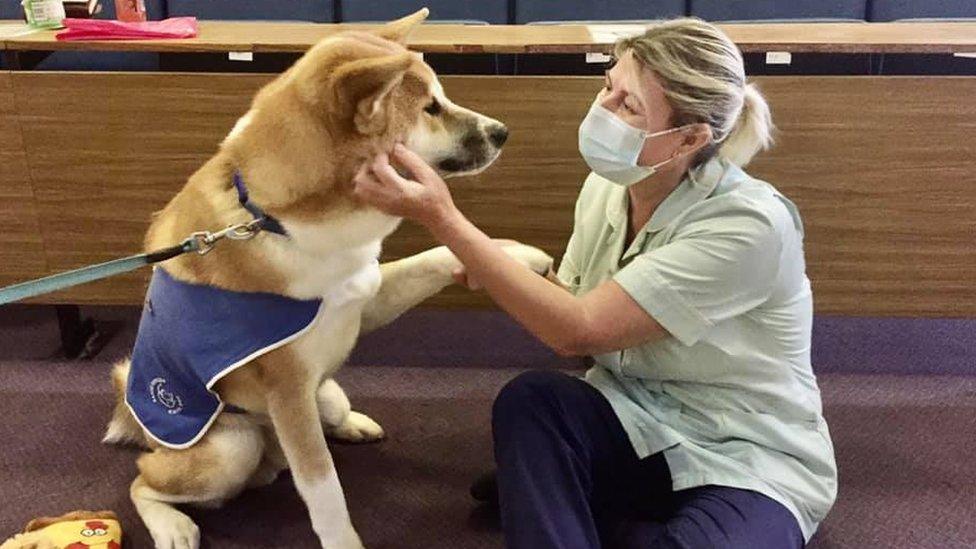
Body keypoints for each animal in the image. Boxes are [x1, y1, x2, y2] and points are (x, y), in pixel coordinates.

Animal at [104, 9, 556, 548]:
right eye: (430, 107)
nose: (503, 131)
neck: (273, 219)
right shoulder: (288, 391)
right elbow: (324, 490)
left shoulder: (365, 295)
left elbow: (433, 254)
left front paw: (516, 256)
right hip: (229, 450)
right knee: (142, 480)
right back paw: (172, 525)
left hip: (325, 395)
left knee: (327, 418)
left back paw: (352, 425)